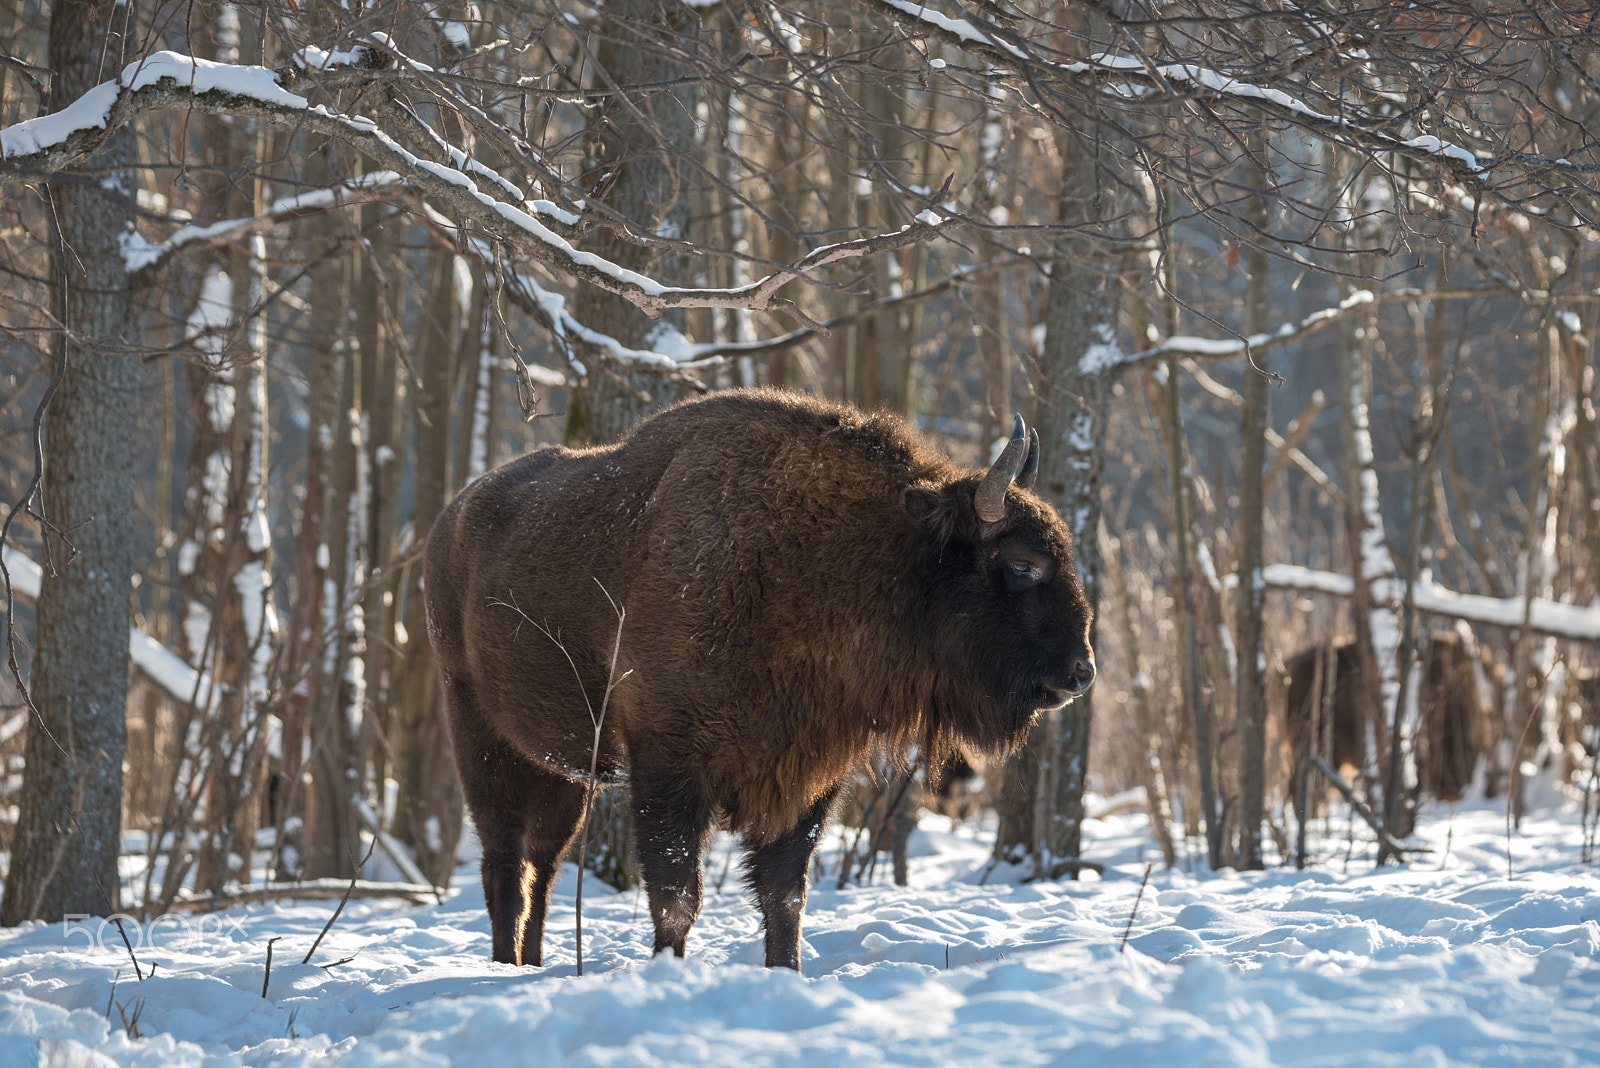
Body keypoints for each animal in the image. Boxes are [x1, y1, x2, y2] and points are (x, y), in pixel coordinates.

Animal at [425, 388, 1094, 972]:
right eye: (1022, 564)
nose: (1081, 672)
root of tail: (448, 521)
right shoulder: (669, 766)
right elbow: (677, 895)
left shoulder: (805, 776)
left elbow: (784, 896)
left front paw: (785, 972)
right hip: (481, 739)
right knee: (504, 864)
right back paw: (504, 966)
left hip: (563, 770)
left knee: (543, 863)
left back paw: (532, 963)